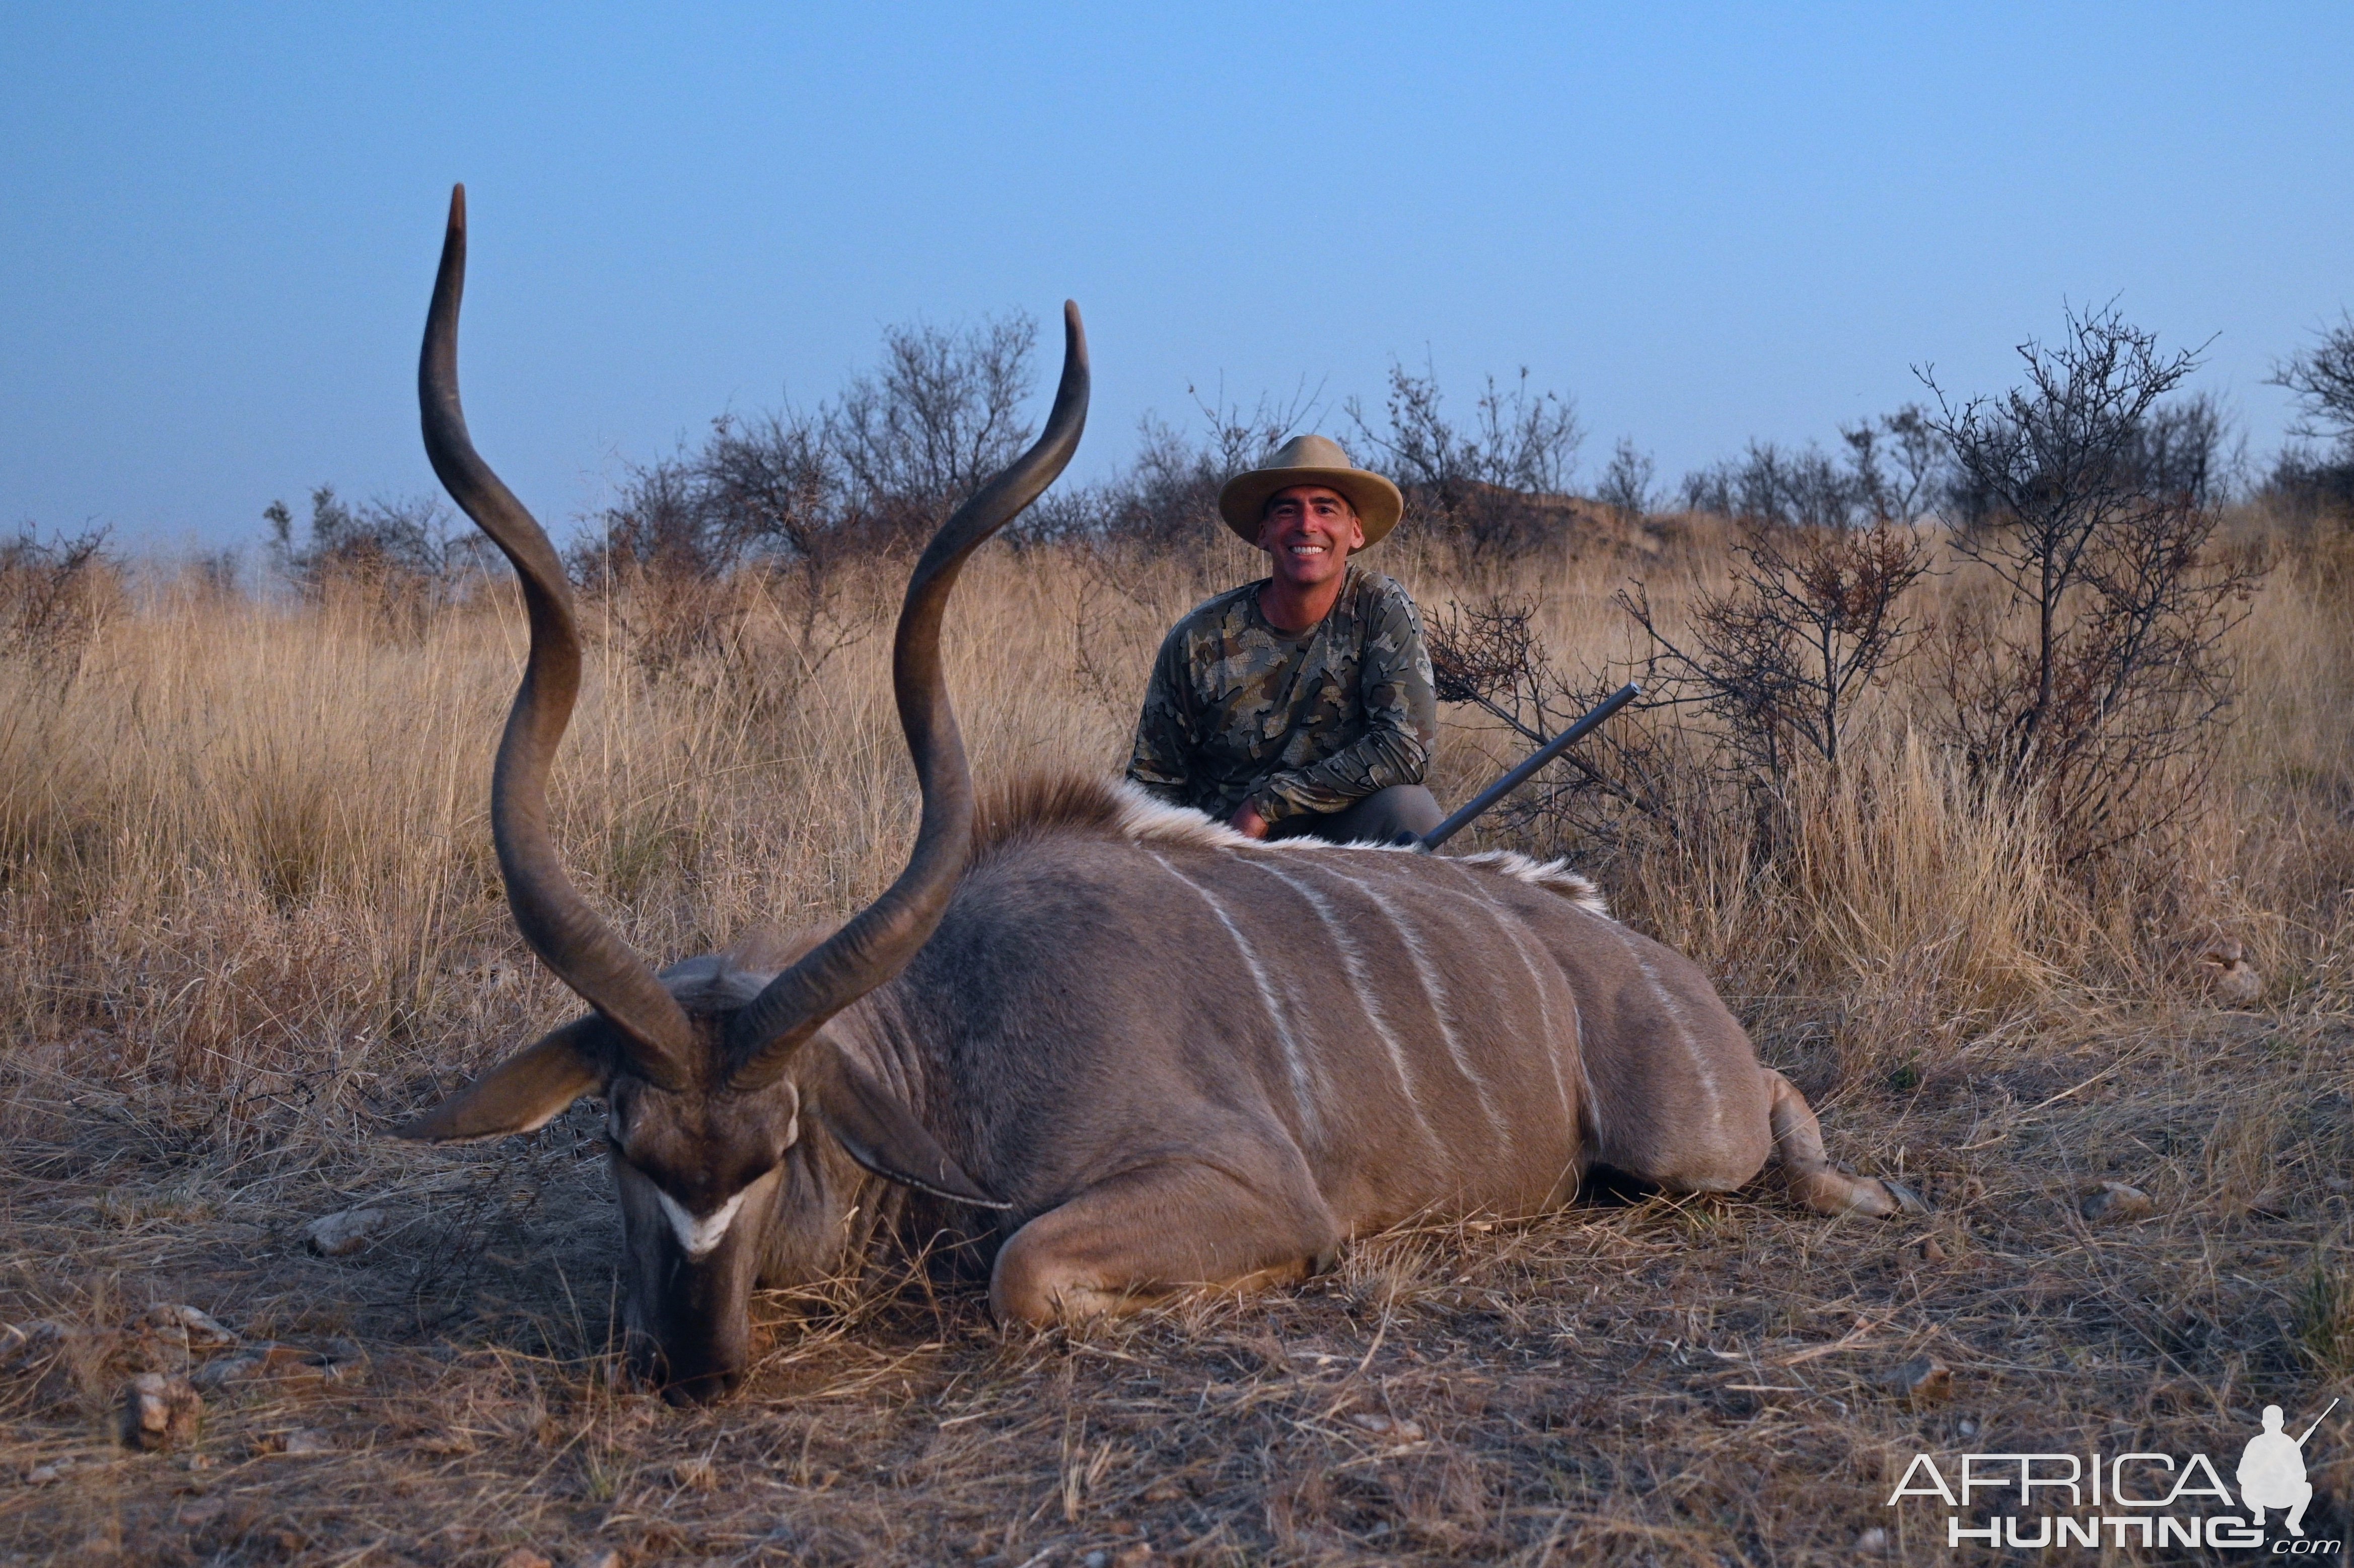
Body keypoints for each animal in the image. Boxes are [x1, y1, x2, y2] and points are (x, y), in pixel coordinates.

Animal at [400, 189, 1911, 1393]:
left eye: (776, 1145)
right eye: (621, 1137)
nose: (698, 1368)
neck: (952, 1042)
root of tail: (1647, 958)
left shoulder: (1237, 1184)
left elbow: (1022, 1276)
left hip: (1680, 1140)